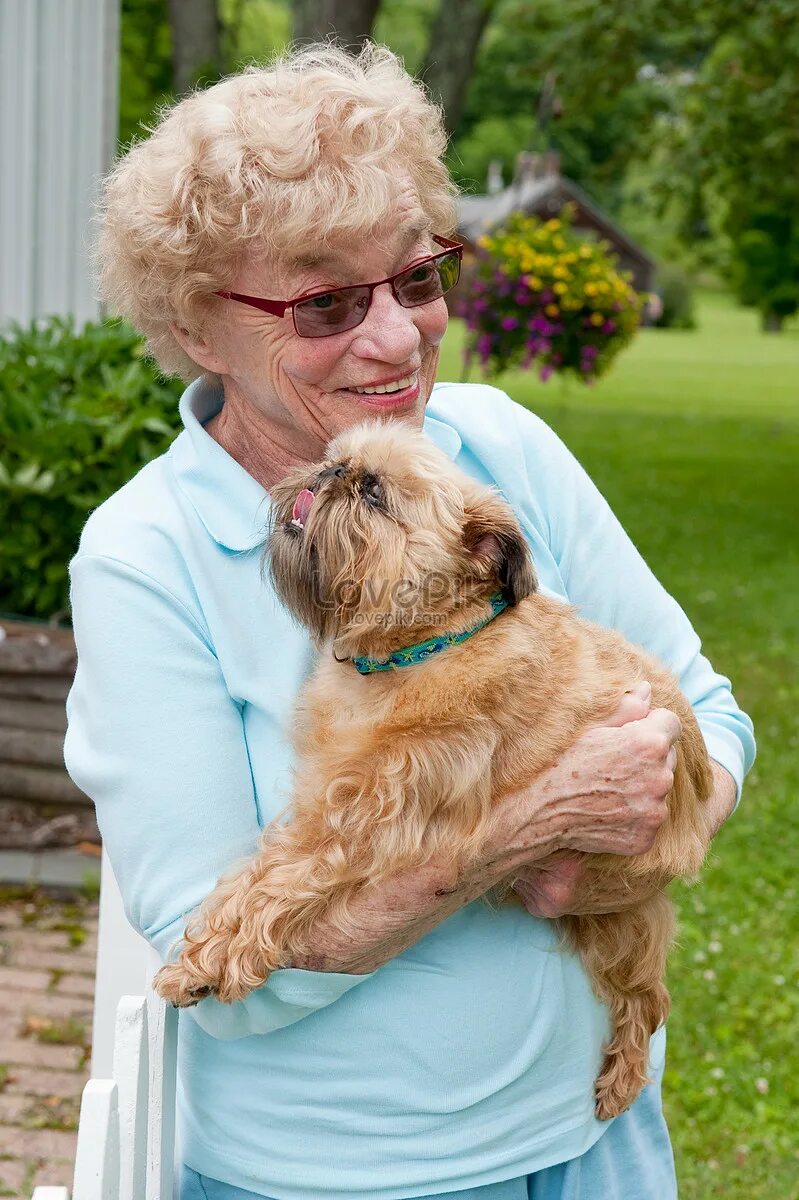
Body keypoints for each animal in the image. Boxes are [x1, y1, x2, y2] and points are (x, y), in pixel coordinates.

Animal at [155, 417, 710, 1118]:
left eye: (373, 492)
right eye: (335, 460)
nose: (330, 473)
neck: (419, 647)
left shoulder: (363, 813)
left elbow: (277, 880)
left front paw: (208, 959)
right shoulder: (329, 798)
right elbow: (252, 872)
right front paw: (203, 947)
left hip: (622, 920)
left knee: (647, 999)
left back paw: (622, 1078)